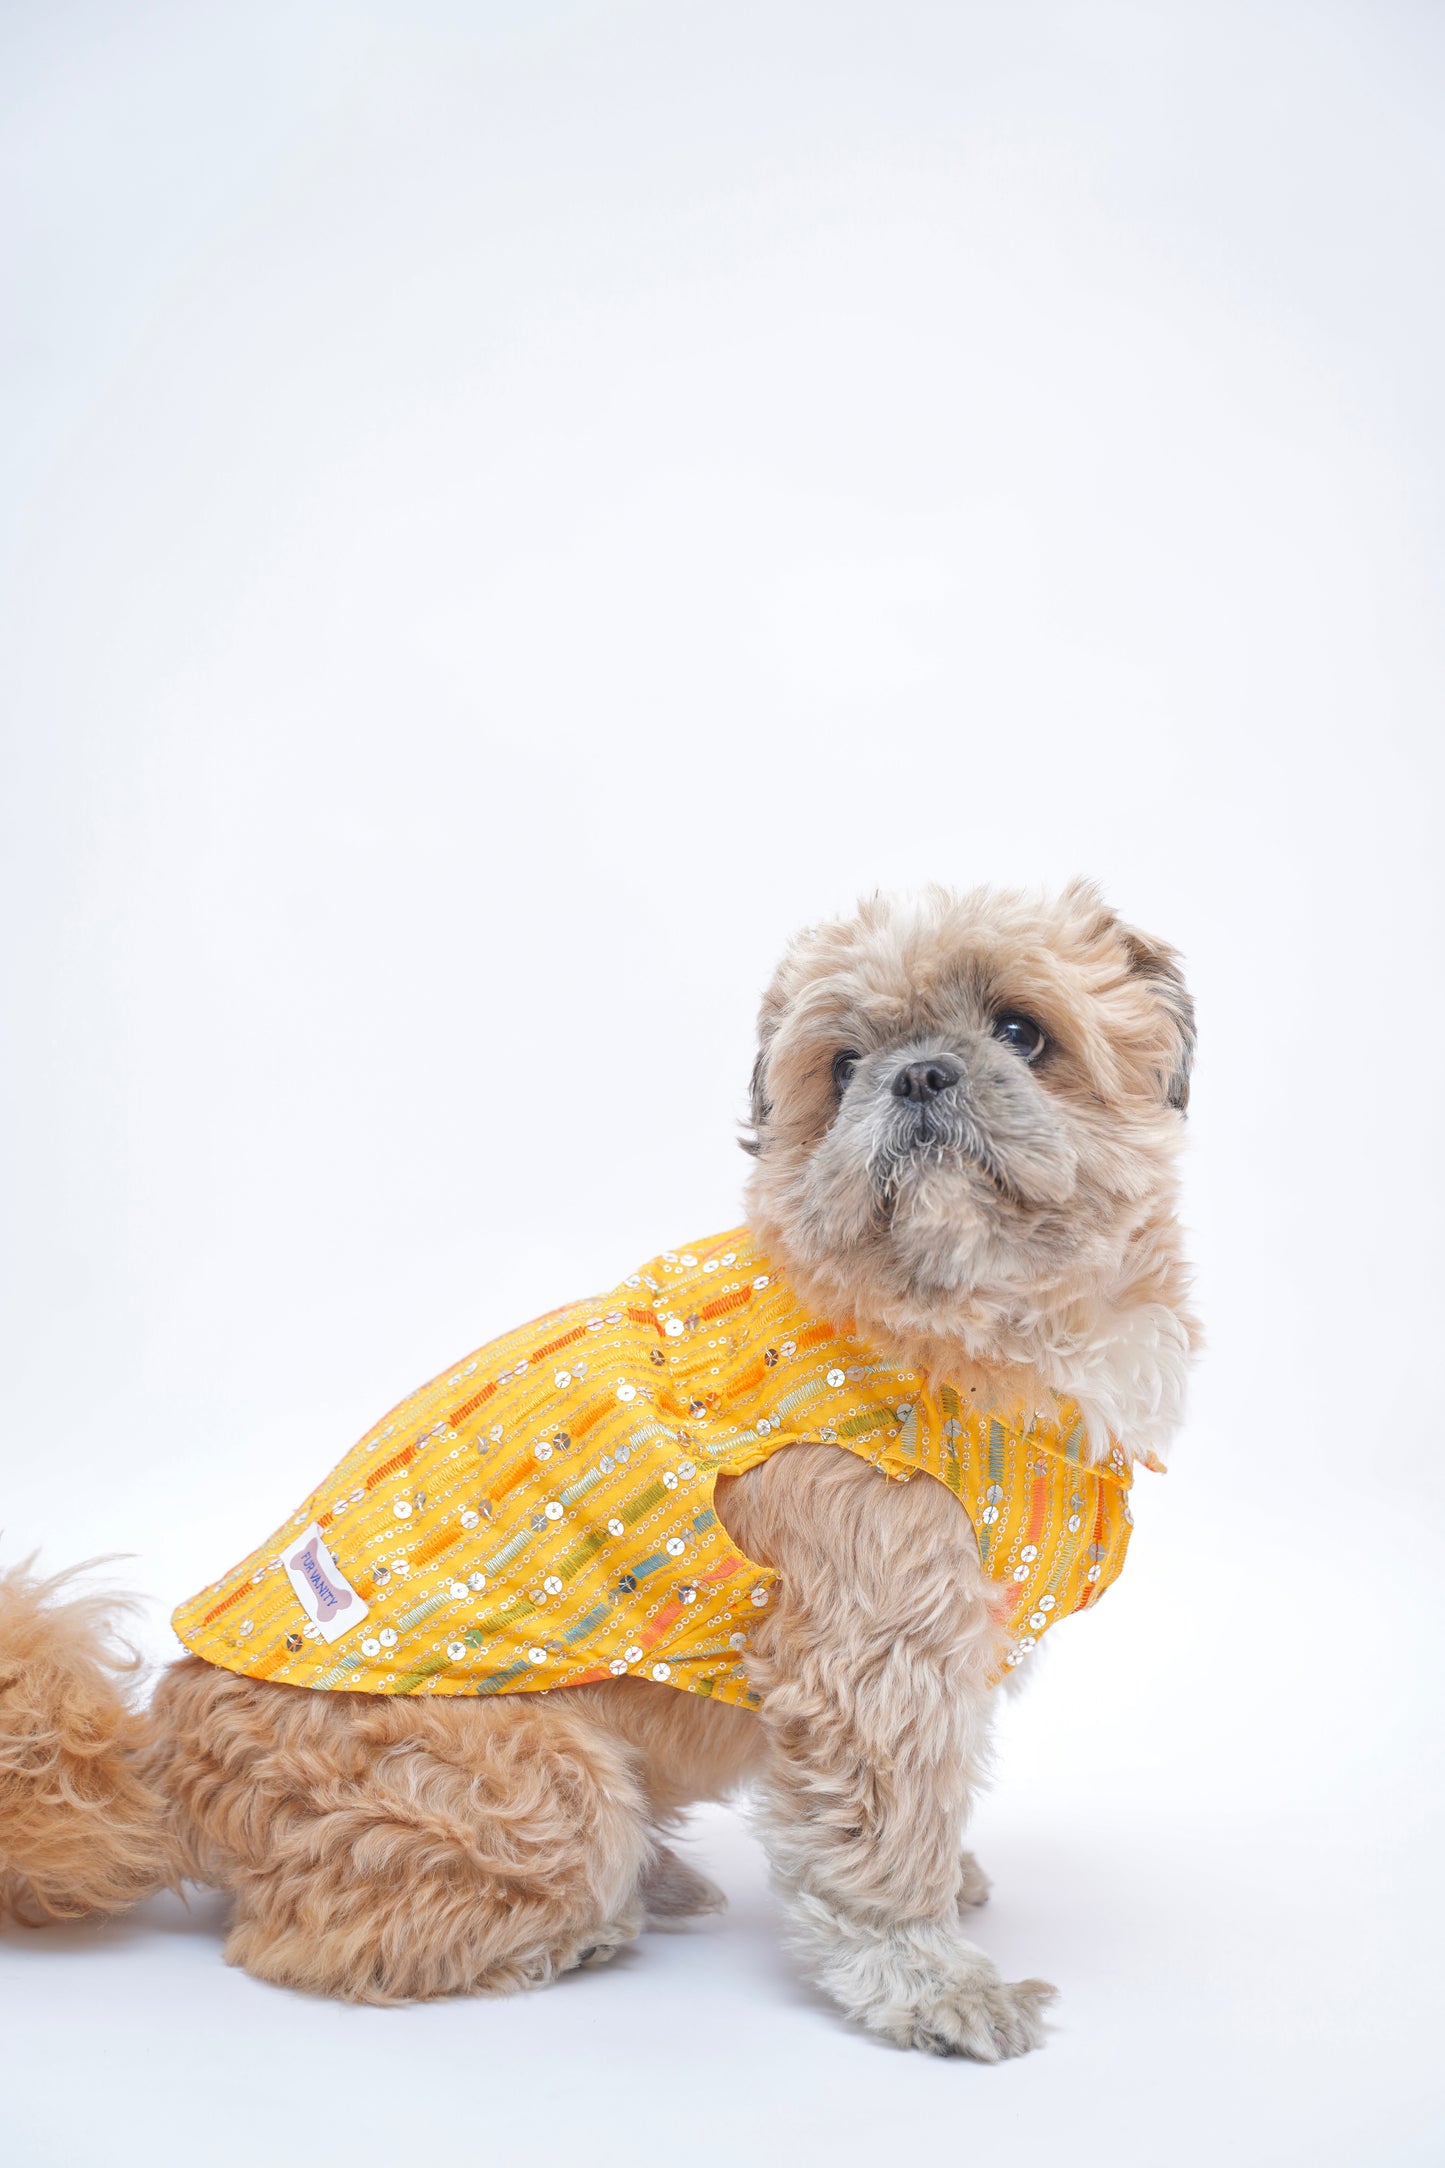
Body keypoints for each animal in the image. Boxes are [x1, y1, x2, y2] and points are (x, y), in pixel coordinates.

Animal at [0, 875, 1195, 2046]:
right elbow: (882, 1831)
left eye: (1021, 1031)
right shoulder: (874, 1653)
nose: (916, 1075)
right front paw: (926, 1976)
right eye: (842, 1066)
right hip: (549, 1787)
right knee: (302, 1940)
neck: (954, 1331)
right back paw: (590, 1927)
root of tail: (156, 1762)